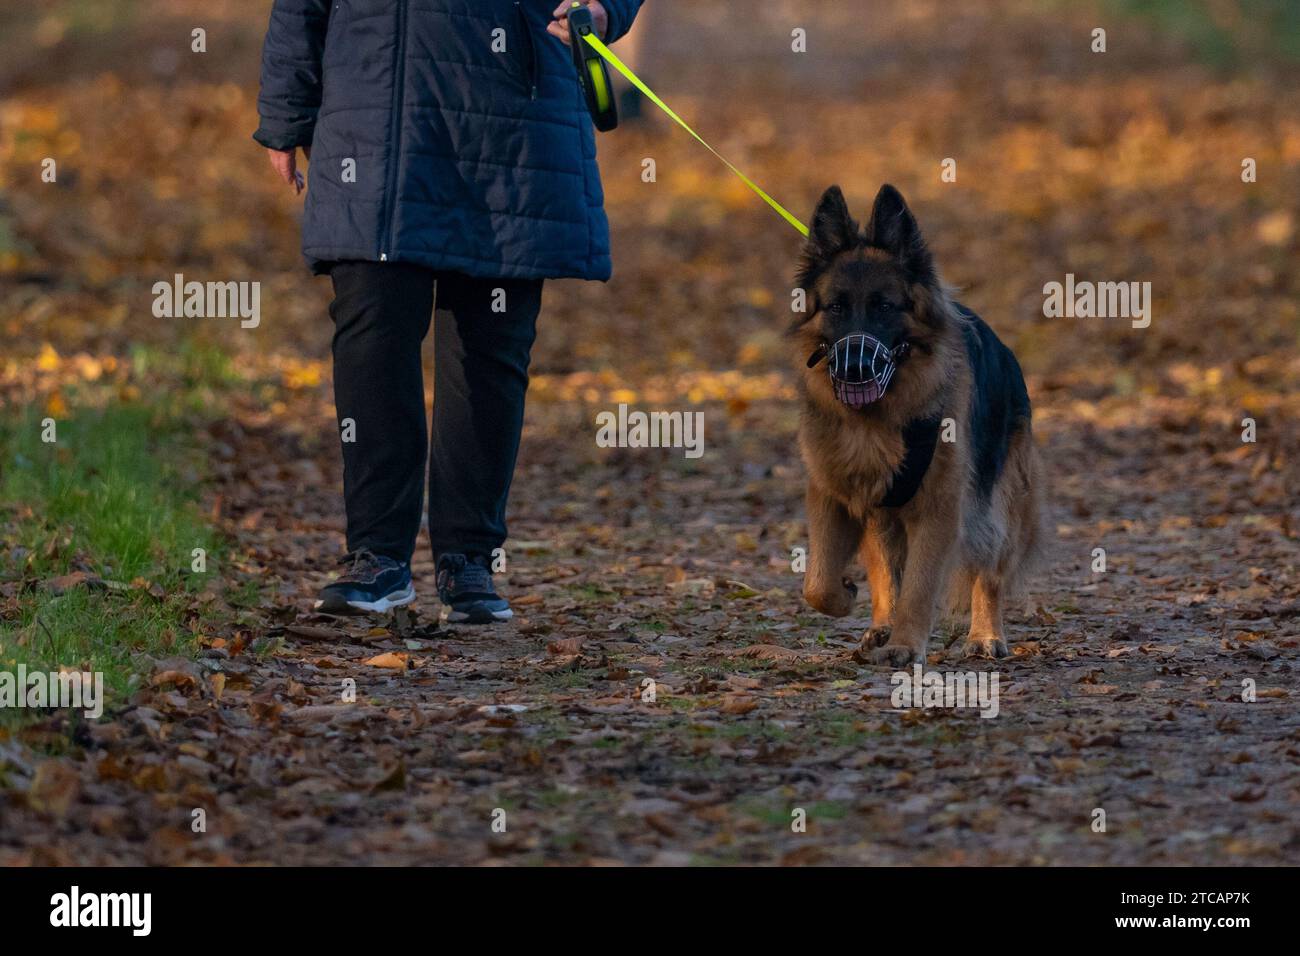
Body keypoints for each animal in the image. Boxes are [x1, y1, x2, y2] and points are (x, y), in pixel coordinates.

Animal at [785, 184, 1040, 665]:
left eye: (885, 306)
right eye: (836, 307)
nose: (855, 368)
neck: (875, 421)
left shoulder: (939, 506)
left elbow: (921, 586)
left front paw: (905, 644)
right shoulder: (833, 493)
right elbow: (819, 583)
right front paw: (849, 599)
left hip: (996, 503)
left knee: (988, 568)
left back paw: (985, 634)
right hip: (882, 511)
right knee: (886, 569)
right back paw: (882, 623)